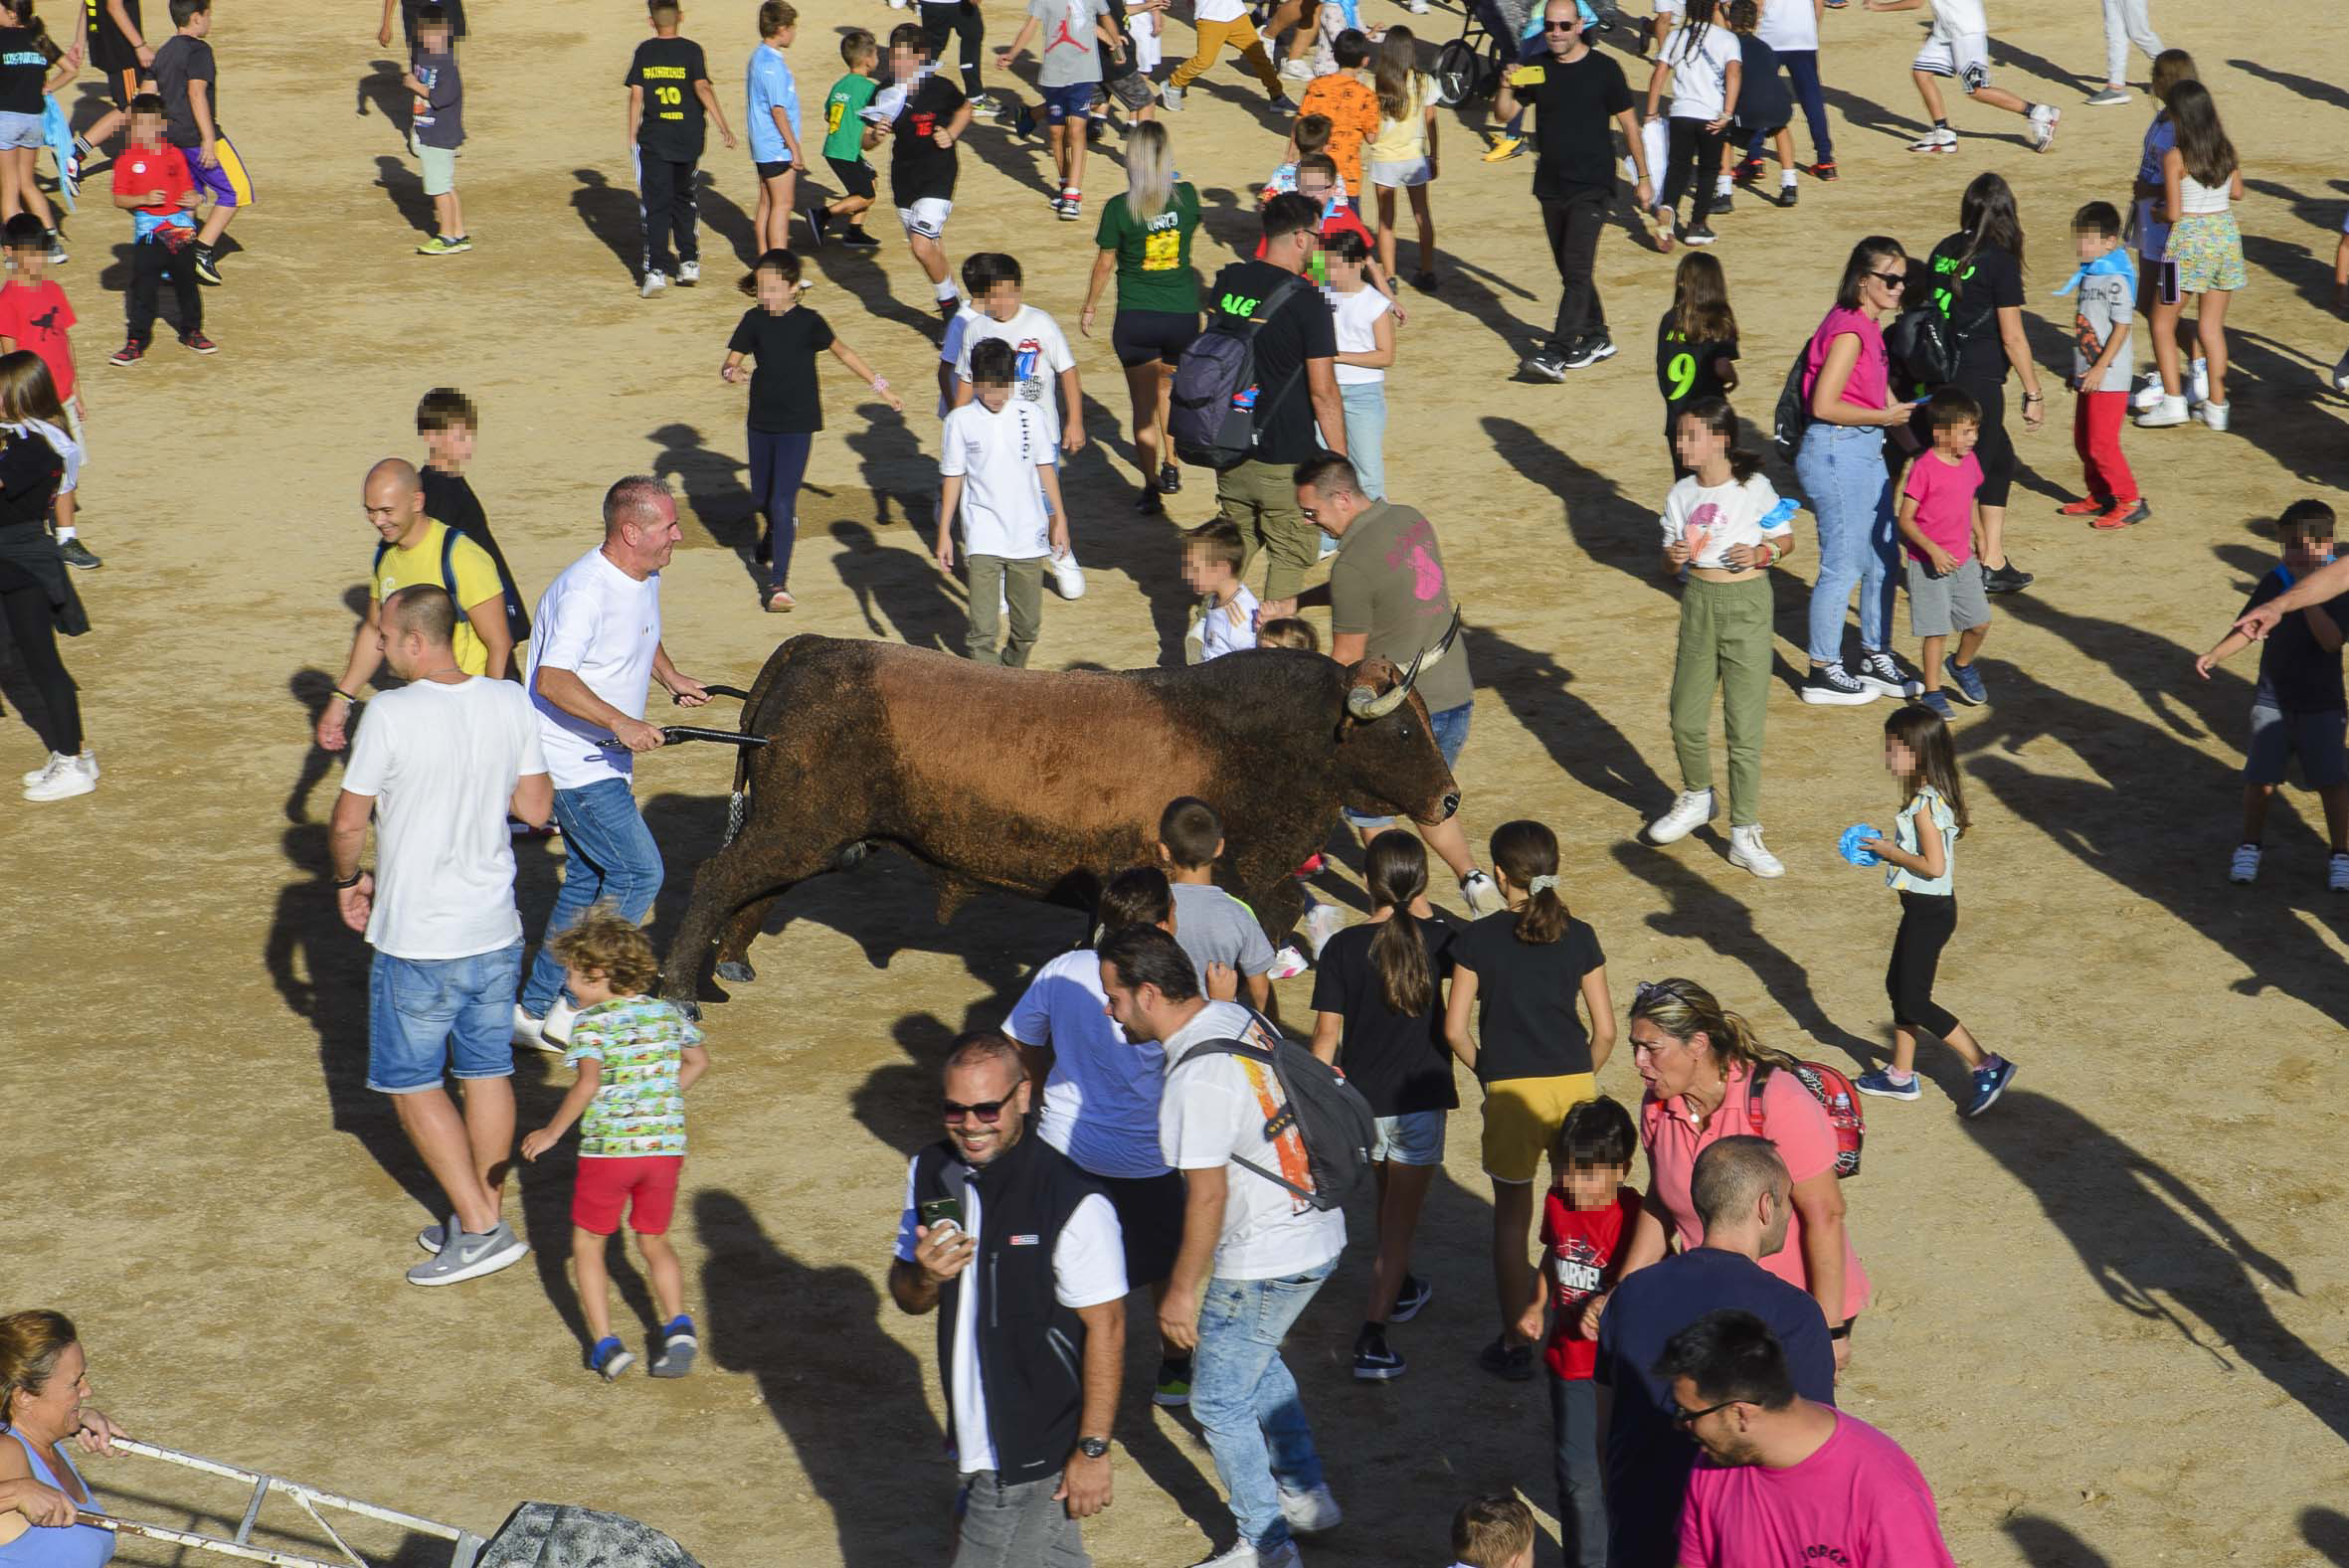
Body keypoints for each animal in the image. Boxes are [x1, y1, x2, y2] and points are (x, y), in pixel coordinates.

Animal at [662, 628, 1456, 1009]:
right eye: (1404, 730)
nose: (1449, 799)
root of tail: (809, 651)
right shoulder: (1233, 875)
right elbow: (1277, 909)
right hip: (797, 828)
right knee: (718, 876)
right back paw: (680, 992)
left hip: (807, 834)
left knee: (754, 888)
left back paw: (732, 964)